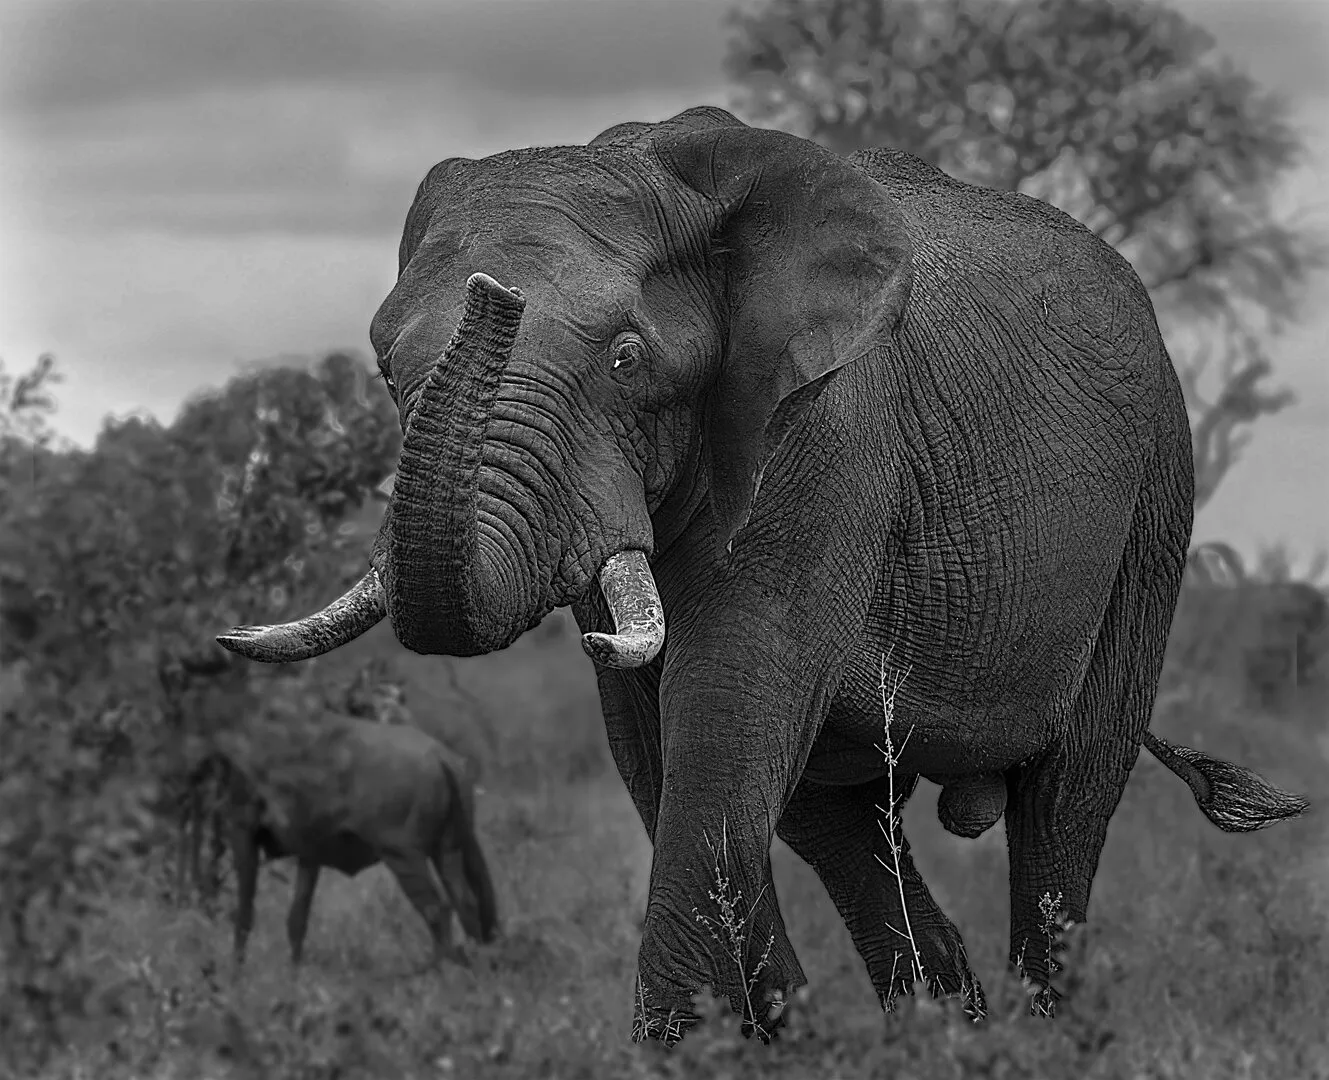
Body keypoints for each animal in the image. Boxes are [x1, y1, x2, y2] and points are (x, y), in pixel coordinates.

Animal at [223, 710, 498, 970]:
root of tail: (440, 756)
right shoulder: (309, 855)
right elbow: (297, 920)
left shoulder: (242, 833)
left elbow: (244, 914)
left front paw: (236, 975)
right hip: (447, 851)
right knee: (466, 903)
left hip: (404, 857)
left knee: (436, 909)